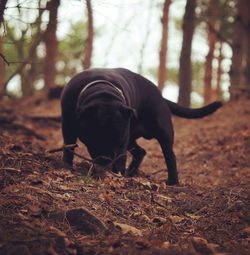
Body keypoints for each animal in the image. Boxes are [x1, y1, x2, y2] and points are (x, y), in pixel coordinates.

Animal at [61, 67, 223, 185]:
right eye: (96, 136)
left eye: (118, 140)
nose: (107, 159)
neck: (102, 94)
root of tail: (161, 96)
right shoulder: (68, 128)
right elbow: (69, 147)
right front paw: (67, 167)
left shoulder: (123, 143)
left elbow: (121, 158)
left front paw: (117, 175)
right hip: (133, 138)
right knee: (140, 152)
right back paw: (131, 172)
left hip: (163, 132)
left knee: (170, 156)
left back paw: (172, 181)